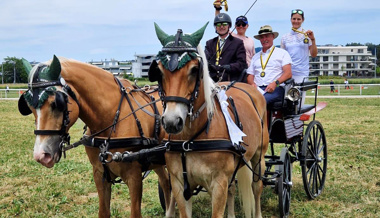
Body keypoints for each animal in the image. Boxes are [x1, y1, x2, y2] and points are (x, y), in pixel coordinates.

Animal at [16, 56, 174, 218]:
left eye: (56, 103)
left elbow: (135, 213)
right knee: (165, 182)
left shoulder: (134, 176)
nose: (41, 155)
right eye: (28, 106)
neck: (112, 118)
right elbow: (103, 212)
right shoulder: (99, 174)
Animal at [148, 23, 270, 217]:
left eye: (194, 69)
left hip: (259, 156)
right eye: (158, 70)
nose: (172, 122)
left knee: (257, 186)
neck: (189, 141)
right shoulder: (179, 184)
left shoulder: (218, 184)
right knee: (233, 188)